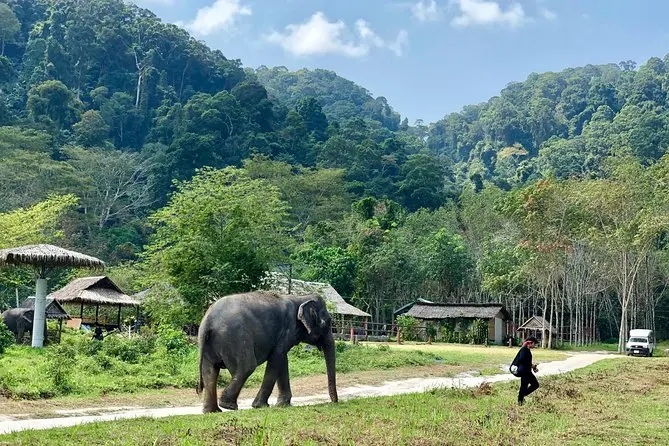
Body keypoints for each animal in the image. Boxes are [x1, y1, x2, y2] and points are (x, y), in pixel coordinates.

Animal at [197, 291, 338, 413]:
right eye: (327, 323)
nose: (335, 402)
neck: (300, 298)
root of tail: (208, 322)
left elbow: (282, 360)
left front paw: (282, 404)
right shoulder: (286, 331)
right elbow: (277, 358)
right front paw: (260, 406)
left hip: (210, 345)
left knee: (209, 372)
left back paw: (212, 411)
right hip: (235, 338)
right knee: (247, 367)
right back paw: (228, 406)